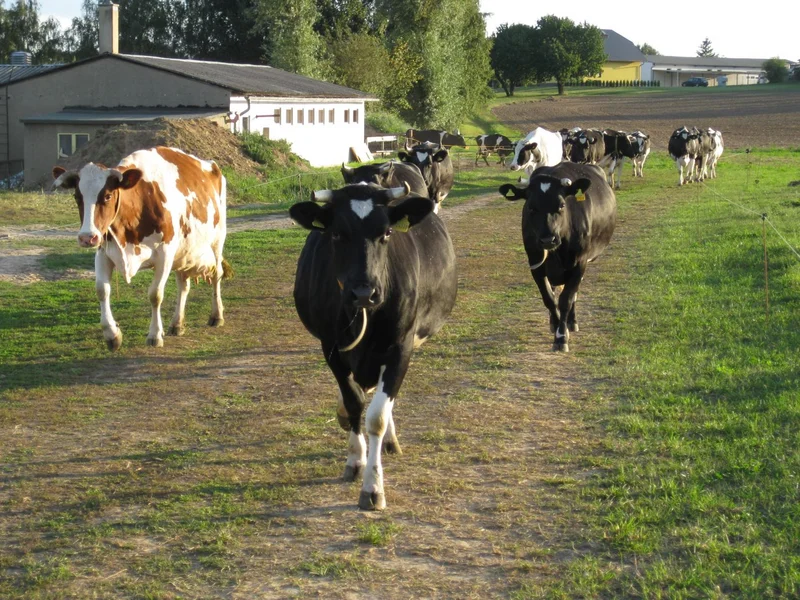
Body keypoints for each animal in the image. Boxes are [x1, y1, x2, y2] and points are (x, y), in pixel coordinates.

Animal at [52, 146, 229, 350]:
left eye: (107, 196)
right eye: (77, 197)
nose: (87, 237)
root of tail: (211, 165)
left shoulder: (165, 254)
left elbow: (155, 294)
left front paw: (154, 335)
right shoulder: (103, 253)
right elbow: (102, 290)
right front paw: (112, 334)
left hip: (217, 240)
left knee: (217, 274)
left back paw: (216, 315)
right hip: (184, 251)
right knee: (183, 284)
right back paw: (177, 323)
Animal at [290, 182, 457, 510]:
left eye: (387, 233)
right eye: (337, 233)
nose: (363, 292)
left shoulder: (400, 348)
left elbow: (377, 416)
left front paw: (373, 487)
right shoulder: (331, 348)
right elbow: (354, 403)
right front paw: (355, 460)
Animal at [498, 162, 616, 352]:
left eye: (561, 205)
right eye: (531, 207)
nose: (548, 239)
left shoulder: (580, 263)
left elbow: (566, 299)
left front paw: (562, 337)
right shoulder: (536, 265)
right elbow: (549, 299)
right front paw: (556, 325)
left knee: (574, 293)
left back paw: (571, 322)